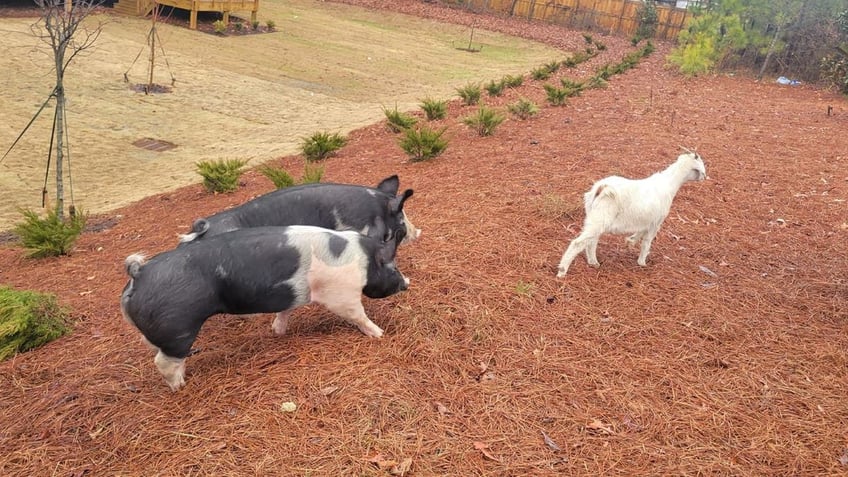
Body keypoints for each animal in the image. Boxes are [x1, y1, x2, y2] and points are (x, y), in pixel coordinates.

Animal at [556, 149, 708, 276]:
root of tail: (602, 187)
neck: (669, 183)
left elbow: (640, 232)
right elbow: (647, 242)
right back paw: (562, 271)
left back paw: (593, 262)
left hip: (594, 217)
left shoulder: (647, 220)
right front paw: (642, 262)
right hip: (600, 218)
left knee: (591, 242)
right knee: (578, 243)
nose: (704, 177)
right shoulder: (656, 222)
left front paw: (630, 241)